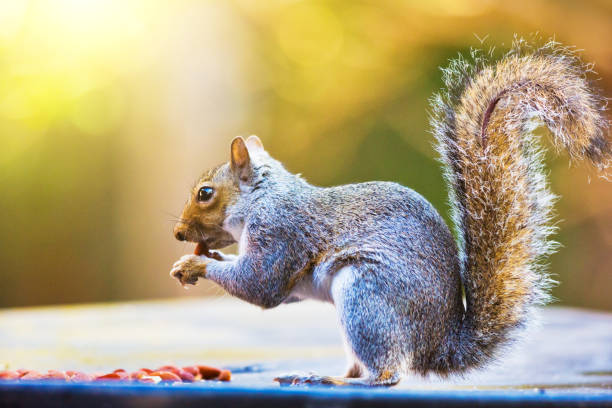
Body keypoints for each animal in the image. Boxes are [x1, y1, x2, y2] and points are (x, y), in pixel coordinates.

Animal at [169, 40, 612, 386]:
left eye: (205, 193)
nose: (178, 234)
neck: (263, 197)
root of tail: (439, 345)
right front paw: (203, 256)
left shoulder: (280, 231)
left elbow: (260, 285)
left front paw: (195, 264)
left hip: (367, 296)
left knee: (385, 375)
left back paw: (332, 379)